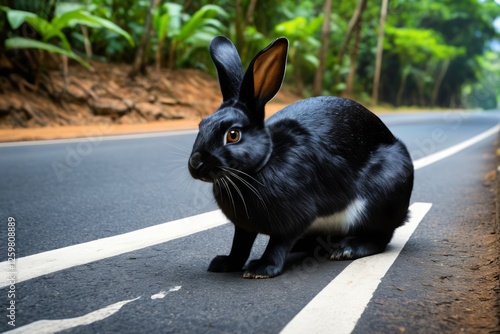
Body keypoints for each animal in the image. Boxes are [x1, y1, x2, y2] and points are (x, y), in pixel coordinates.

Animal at [188, 35, 414, 278]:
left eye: (233, 135)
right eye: (202, 124)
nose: (195, 163)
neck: (262, 164)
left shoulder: (294, 218)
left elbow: (278, 243)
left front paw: (262, 268)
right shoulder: (244, 227)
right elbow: (240, 244)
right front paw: (225, 263)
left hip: (382, 197)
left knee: (380, 237)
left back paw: (347, 249)